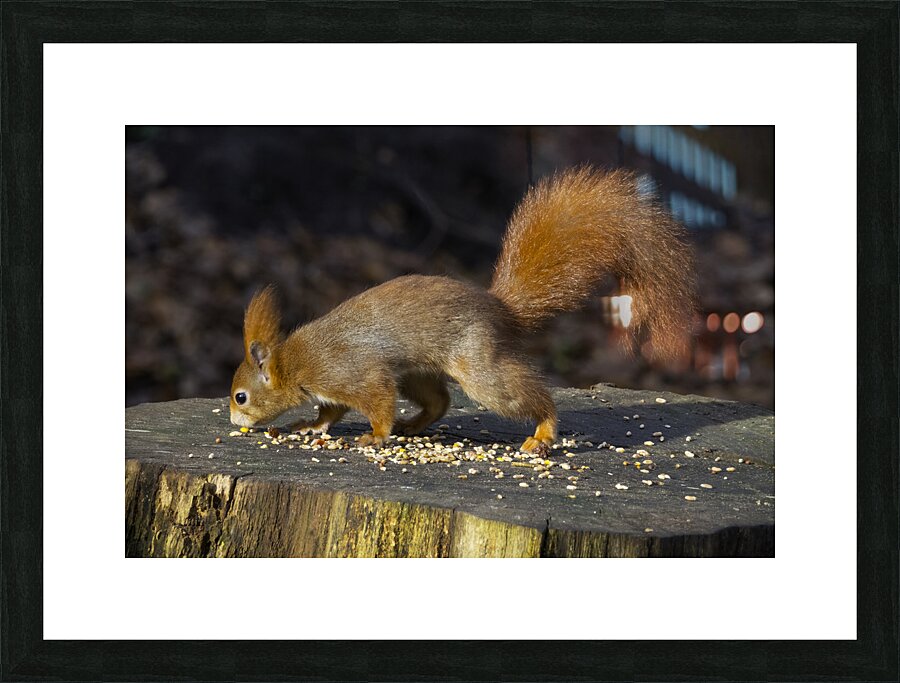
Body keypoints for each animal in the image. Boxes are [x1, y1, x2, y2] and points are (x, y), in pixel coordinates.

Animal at [230, 166, 696, 454]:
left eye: (241, 396)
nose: (235, 422)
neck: (294, 363)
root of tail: (499, 308)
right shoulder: (336, 388)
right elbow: (329, 411)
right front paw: (310, 426)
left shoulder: (352, 373)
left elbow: (375, 402)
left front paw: (375, 436)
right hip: (418, 373)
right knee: (440, 401)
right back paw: (413, 425)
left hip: (480, 366)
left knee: (527, 396)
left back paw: (543, 432)